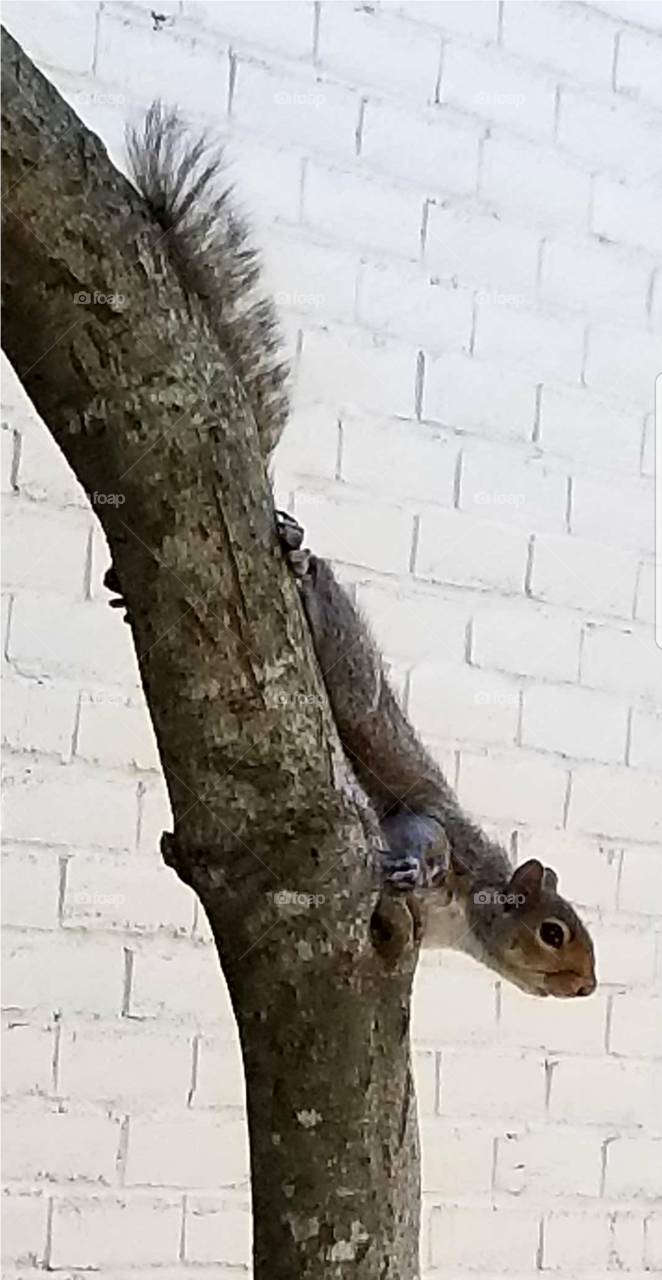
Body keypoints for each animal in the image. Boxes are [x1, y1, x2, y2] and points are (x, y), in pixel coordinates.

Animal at [110, 103, 596, 1001]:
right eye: (554, 930)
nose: (583, 986)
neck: (472, 906)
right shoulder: (440, 830)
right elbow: (418, 833)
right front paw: (406, 870)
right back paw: (295, 551)